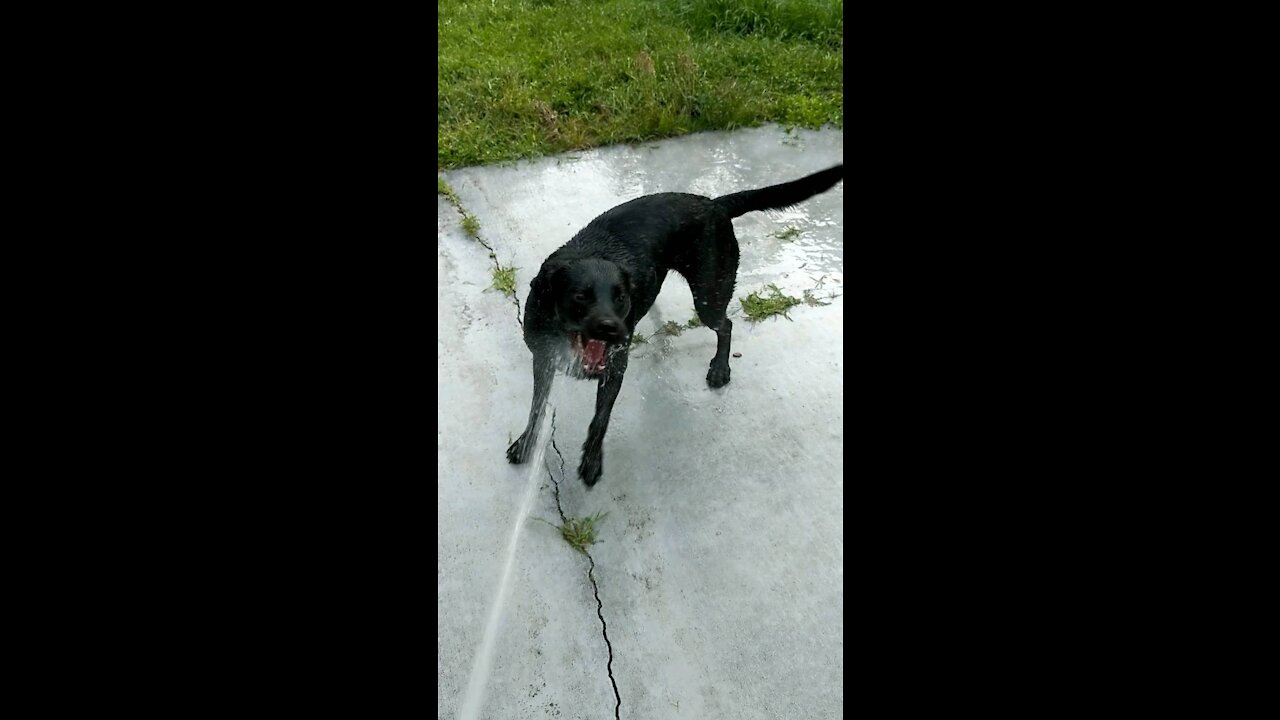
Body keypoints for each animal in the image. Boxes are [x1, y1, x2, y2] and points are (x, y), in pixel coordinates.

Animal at [504, 165, 844, 484]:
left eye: (620, 297)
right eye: (580, 296)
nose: (616, 330)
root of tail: (714, 204)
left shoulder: (615, 367)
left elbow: (599, 419)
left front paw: (591, 461)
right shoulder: (543, 358)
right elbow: (537, 406)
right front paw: (526, 444)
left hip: (709, 294)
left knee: (726, 325)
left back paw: (720, 369)